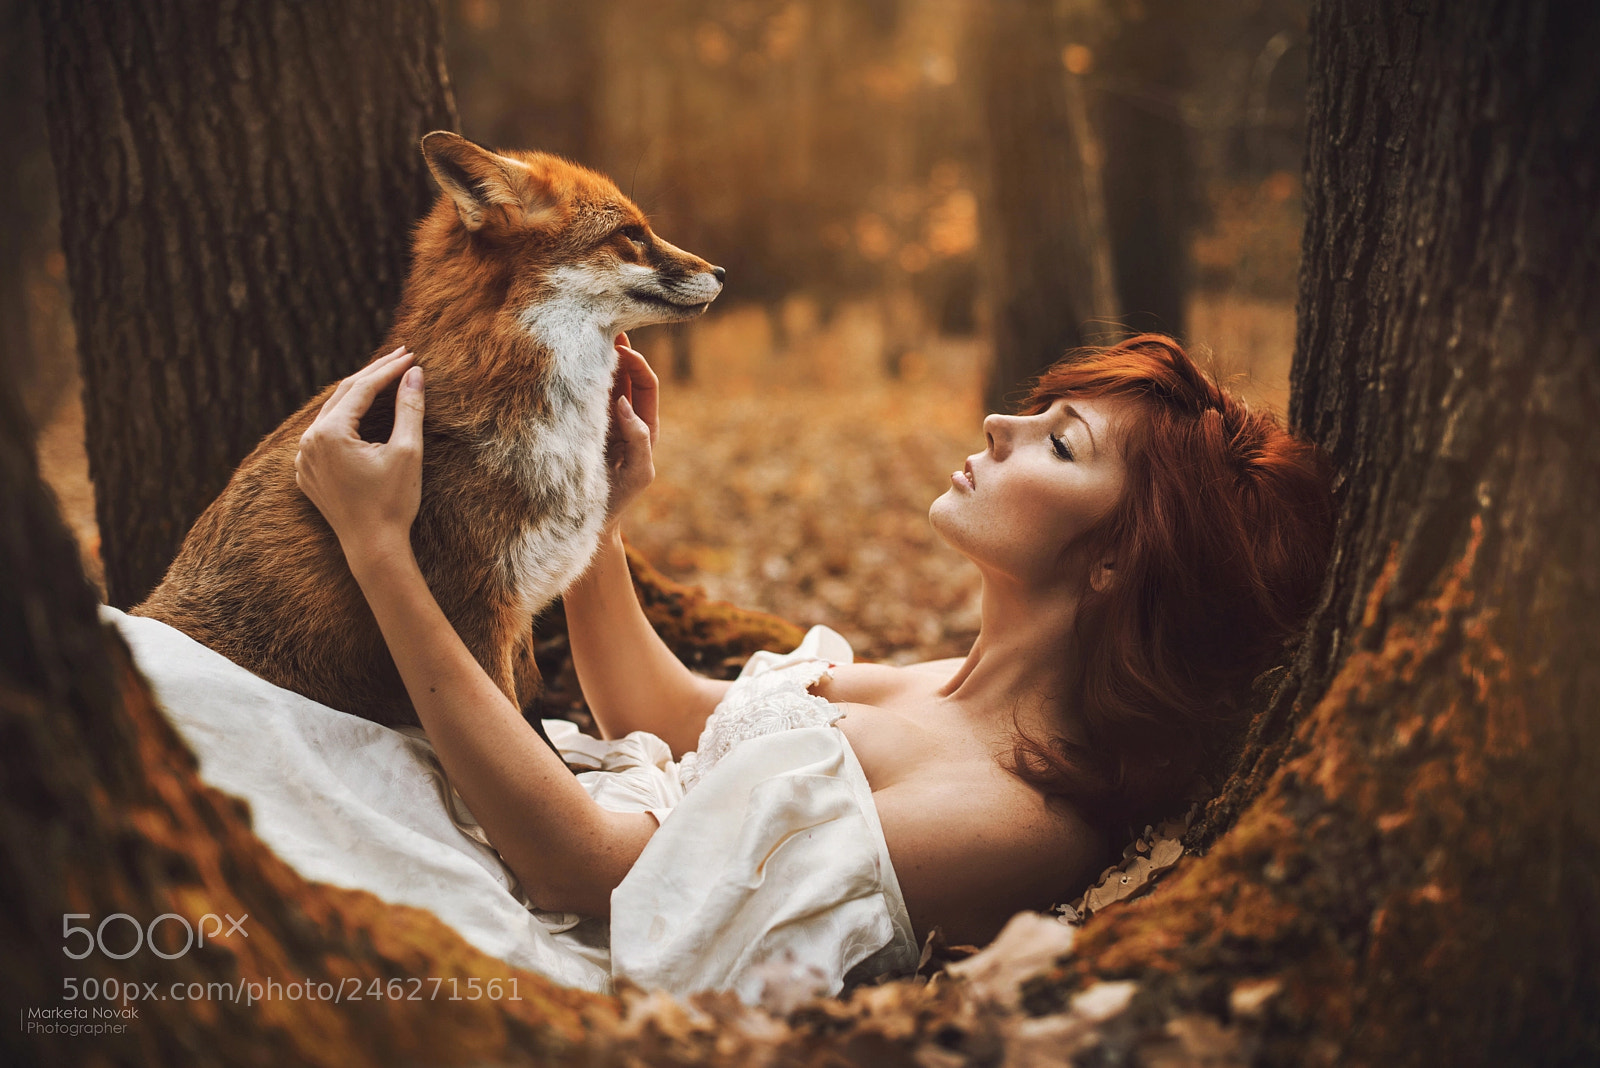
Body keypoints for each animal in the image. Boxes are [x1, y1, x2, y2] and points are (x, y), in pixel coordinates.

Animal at [134, 131, 724, 731]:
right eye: (630, 235)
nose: (721, 272)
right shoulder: (473, 612)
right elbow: (513, 722)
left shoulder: (517, 617)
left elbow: (534, 717)